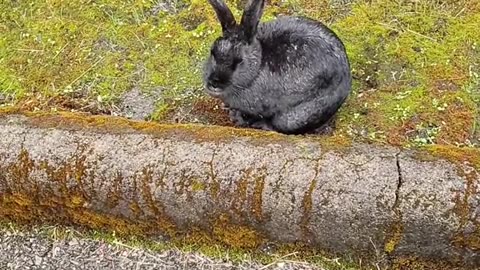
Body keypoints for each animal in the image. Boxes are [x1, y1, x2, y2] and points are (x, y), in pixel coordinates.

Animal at [202, 0, 352, 134]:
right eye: (213, 52)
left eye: (239, 61)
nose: (214, 83)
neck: (257, 66)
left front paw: (237, 118)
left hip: (298, 115)